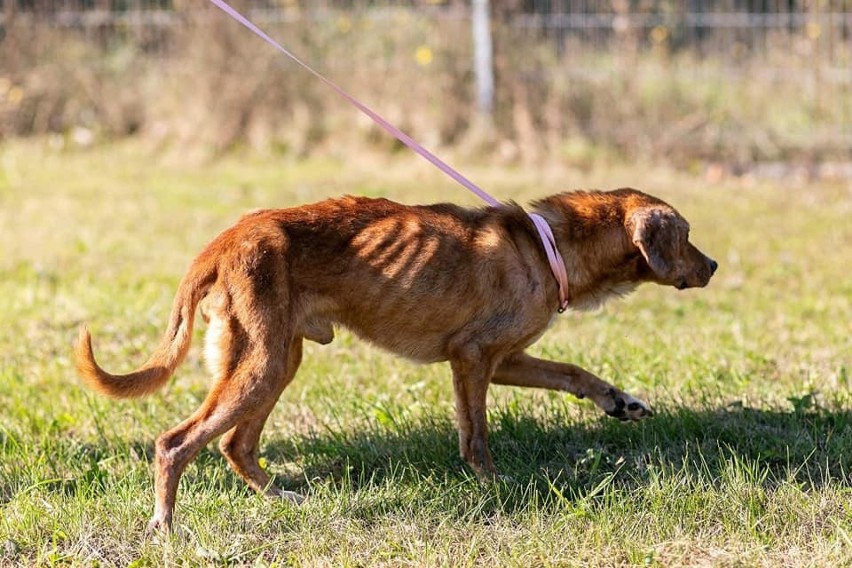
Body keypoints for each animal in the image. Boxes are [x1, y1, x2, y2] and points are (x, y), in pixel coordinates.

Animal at [73, 189, 716, 532]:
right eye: (686, 235)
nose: (713, 267)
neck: (547, 247)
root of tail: (226, 239)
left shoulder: (507, 358)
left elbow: (575, 373)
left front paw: (620, 401)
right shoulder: (473, 358)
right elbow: (477, 435)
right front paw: (494, 486)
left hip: (277, 361)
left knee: (235, 444)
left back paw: (280, 498)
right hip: (258, 367)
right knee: (175, 442)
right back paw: (165, 525)